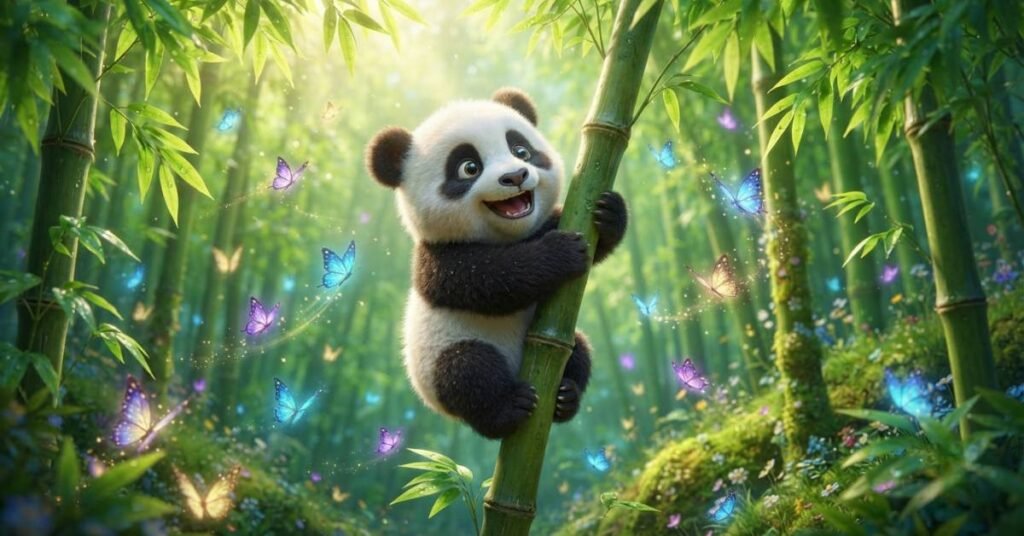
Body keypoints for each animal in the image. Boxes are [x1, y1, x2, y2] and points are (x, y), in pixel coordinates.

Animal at [365, 88, 627, 439]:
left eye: (521, 151)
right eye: (469, 168)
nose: (515, 176)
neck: (505, 237)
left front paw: (611, 214)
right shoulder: (436, 259)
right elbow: (490, 280)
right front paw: (560, 253)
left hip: (563, 343)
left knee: (579, 348)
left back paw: (566, 396)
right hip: (440, 358)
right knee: (467, 371)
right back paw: (508, 408)